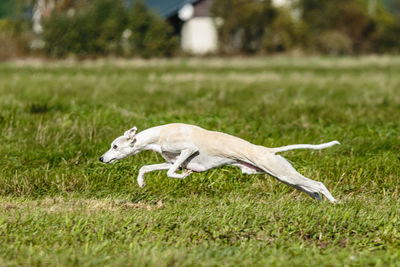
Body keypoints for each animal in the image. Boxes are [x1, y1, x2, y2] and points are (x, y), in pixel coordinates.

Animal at [98, 123, 340, 203]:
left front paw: (181, 176)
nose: (101, 158)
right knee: (312, 190)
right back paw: (320, 203)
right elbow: (147, 167)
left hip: (283, 174)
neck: (160, 134)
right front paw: (141, 182)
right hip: (285, 177)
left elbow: (171, 172)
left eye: (115, 146)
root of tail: (269, 151)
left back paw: (335, 203)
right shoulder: (174, 160)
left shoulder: (188, 150)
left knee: (318, 185)